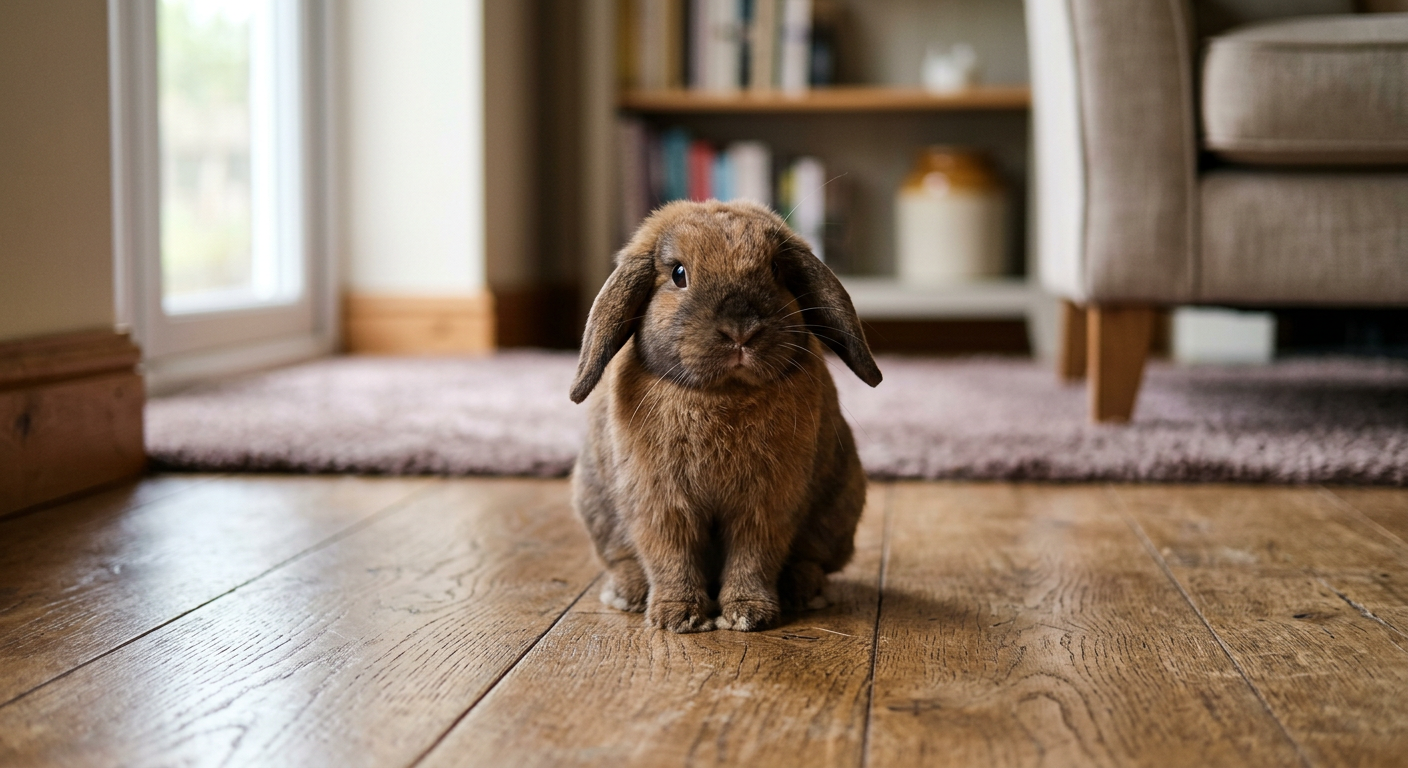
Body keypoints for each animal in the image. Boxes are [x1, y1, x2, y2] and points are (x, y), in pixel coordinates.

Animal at [569, 199, 882, 633]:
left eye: (775, 269)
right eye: (678, 273)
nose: (740, 331)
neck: (725, 394)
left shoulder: (766, 505)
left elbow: (753, 557)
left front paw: (748, 615)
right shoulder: (661, 504)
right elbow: (671, 557)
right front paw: (678, 617)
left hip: (839, 508)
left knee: (813, 560)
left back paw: (804, 591)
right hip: (596, 505)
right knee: (624, 558)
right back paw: (627, 593)